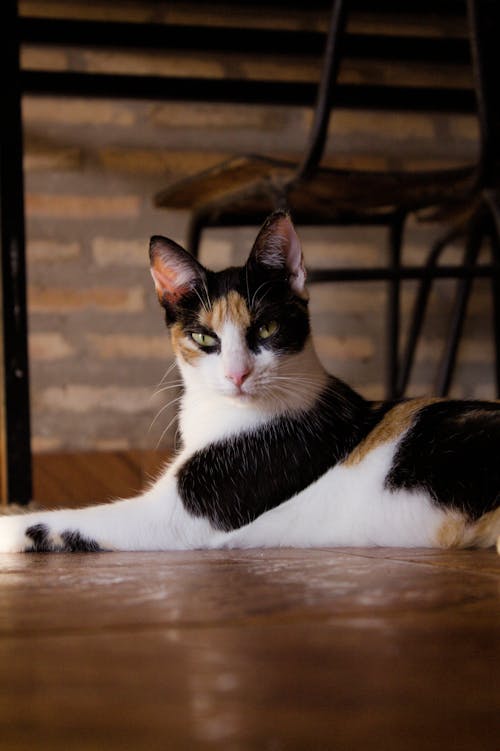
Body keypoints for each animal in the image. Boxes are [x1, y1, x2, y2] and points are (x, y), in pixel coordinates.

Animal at [0, 209, 500, 556]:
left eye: (266, 328)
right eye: (204, 337)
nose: (237, 373)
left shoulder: (179, 516)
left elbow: (55, 521)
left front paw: (10, 524)